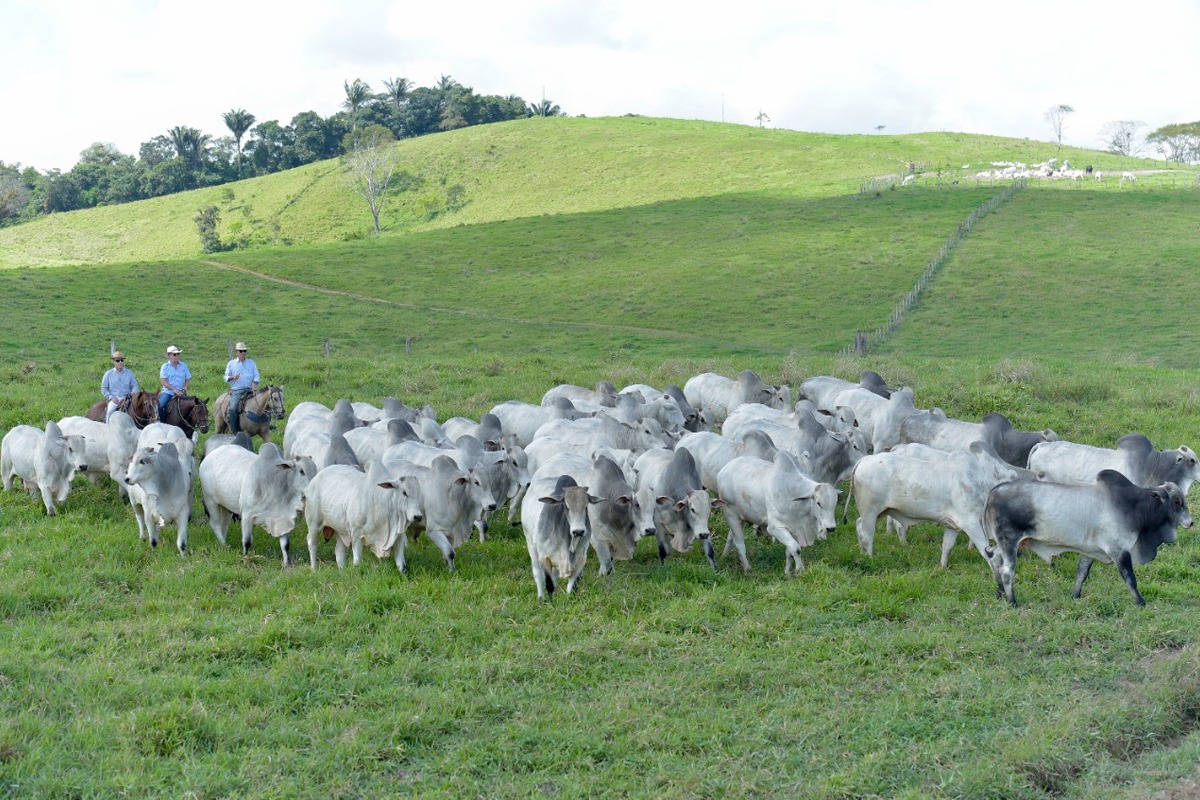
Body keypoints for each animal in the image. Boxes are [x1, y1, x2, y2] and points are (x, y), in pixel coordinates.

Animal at [844, 438, 1032, 568]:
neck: (982, 482)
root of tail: (864, 460)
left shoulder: (953, 525)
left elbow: (947, 547)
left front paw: (942, 567)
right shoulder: (971, 522)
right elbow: (986, 550)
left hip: (879, 512)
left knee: (859, 526)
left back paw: (862, 554)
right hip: (870, 511)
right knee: (866, 534)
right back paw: (869, 557)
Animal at [984, 470, 1190, 606]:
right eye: (1177, 501)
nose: (1191, 522)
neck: (1134, 506)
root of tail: (995, 490)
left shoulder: (1090, 551)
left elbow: (1081, 573)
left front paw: (1075, 596)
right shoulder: (1119, 551)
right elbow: (1130, 578)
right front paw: (1141, 602)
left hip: (1005, 543)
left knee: (993, 557)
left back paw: (999, 593)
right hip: (1009, 541)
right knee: (1007, 571)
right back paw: (1012, 602)